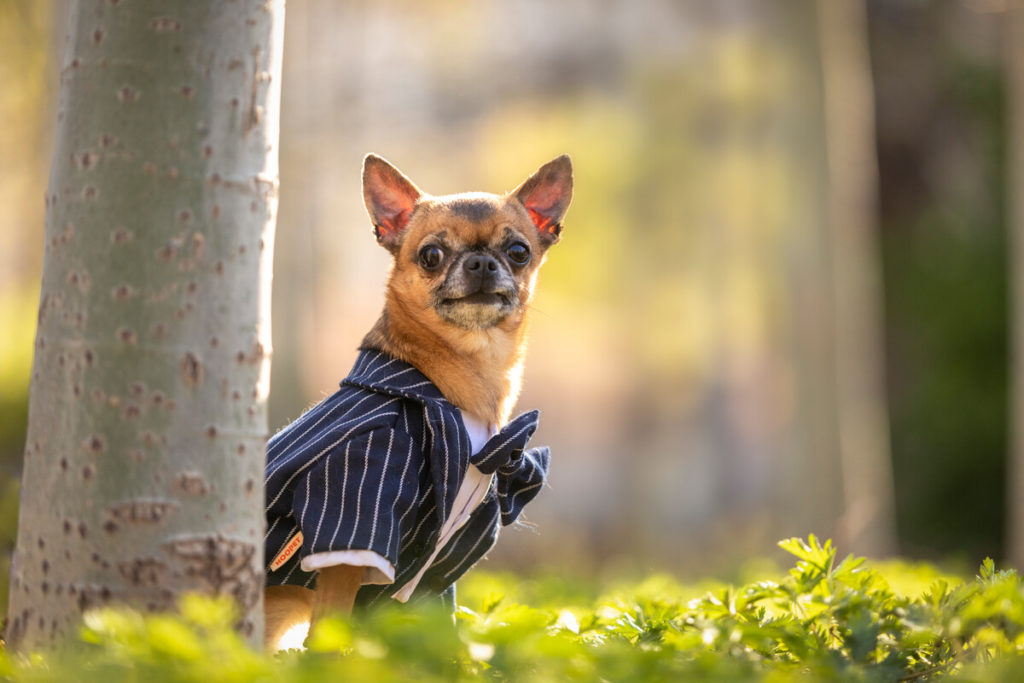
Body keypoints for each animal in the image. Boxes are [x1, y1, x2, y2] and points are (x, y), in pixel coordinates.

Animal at [262, 152, 569, 651]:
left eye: (519, 251)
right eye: (430, 256)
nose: (481, 262)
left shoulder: (433, 573)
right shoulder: (353, 513)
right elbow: (331, 629)